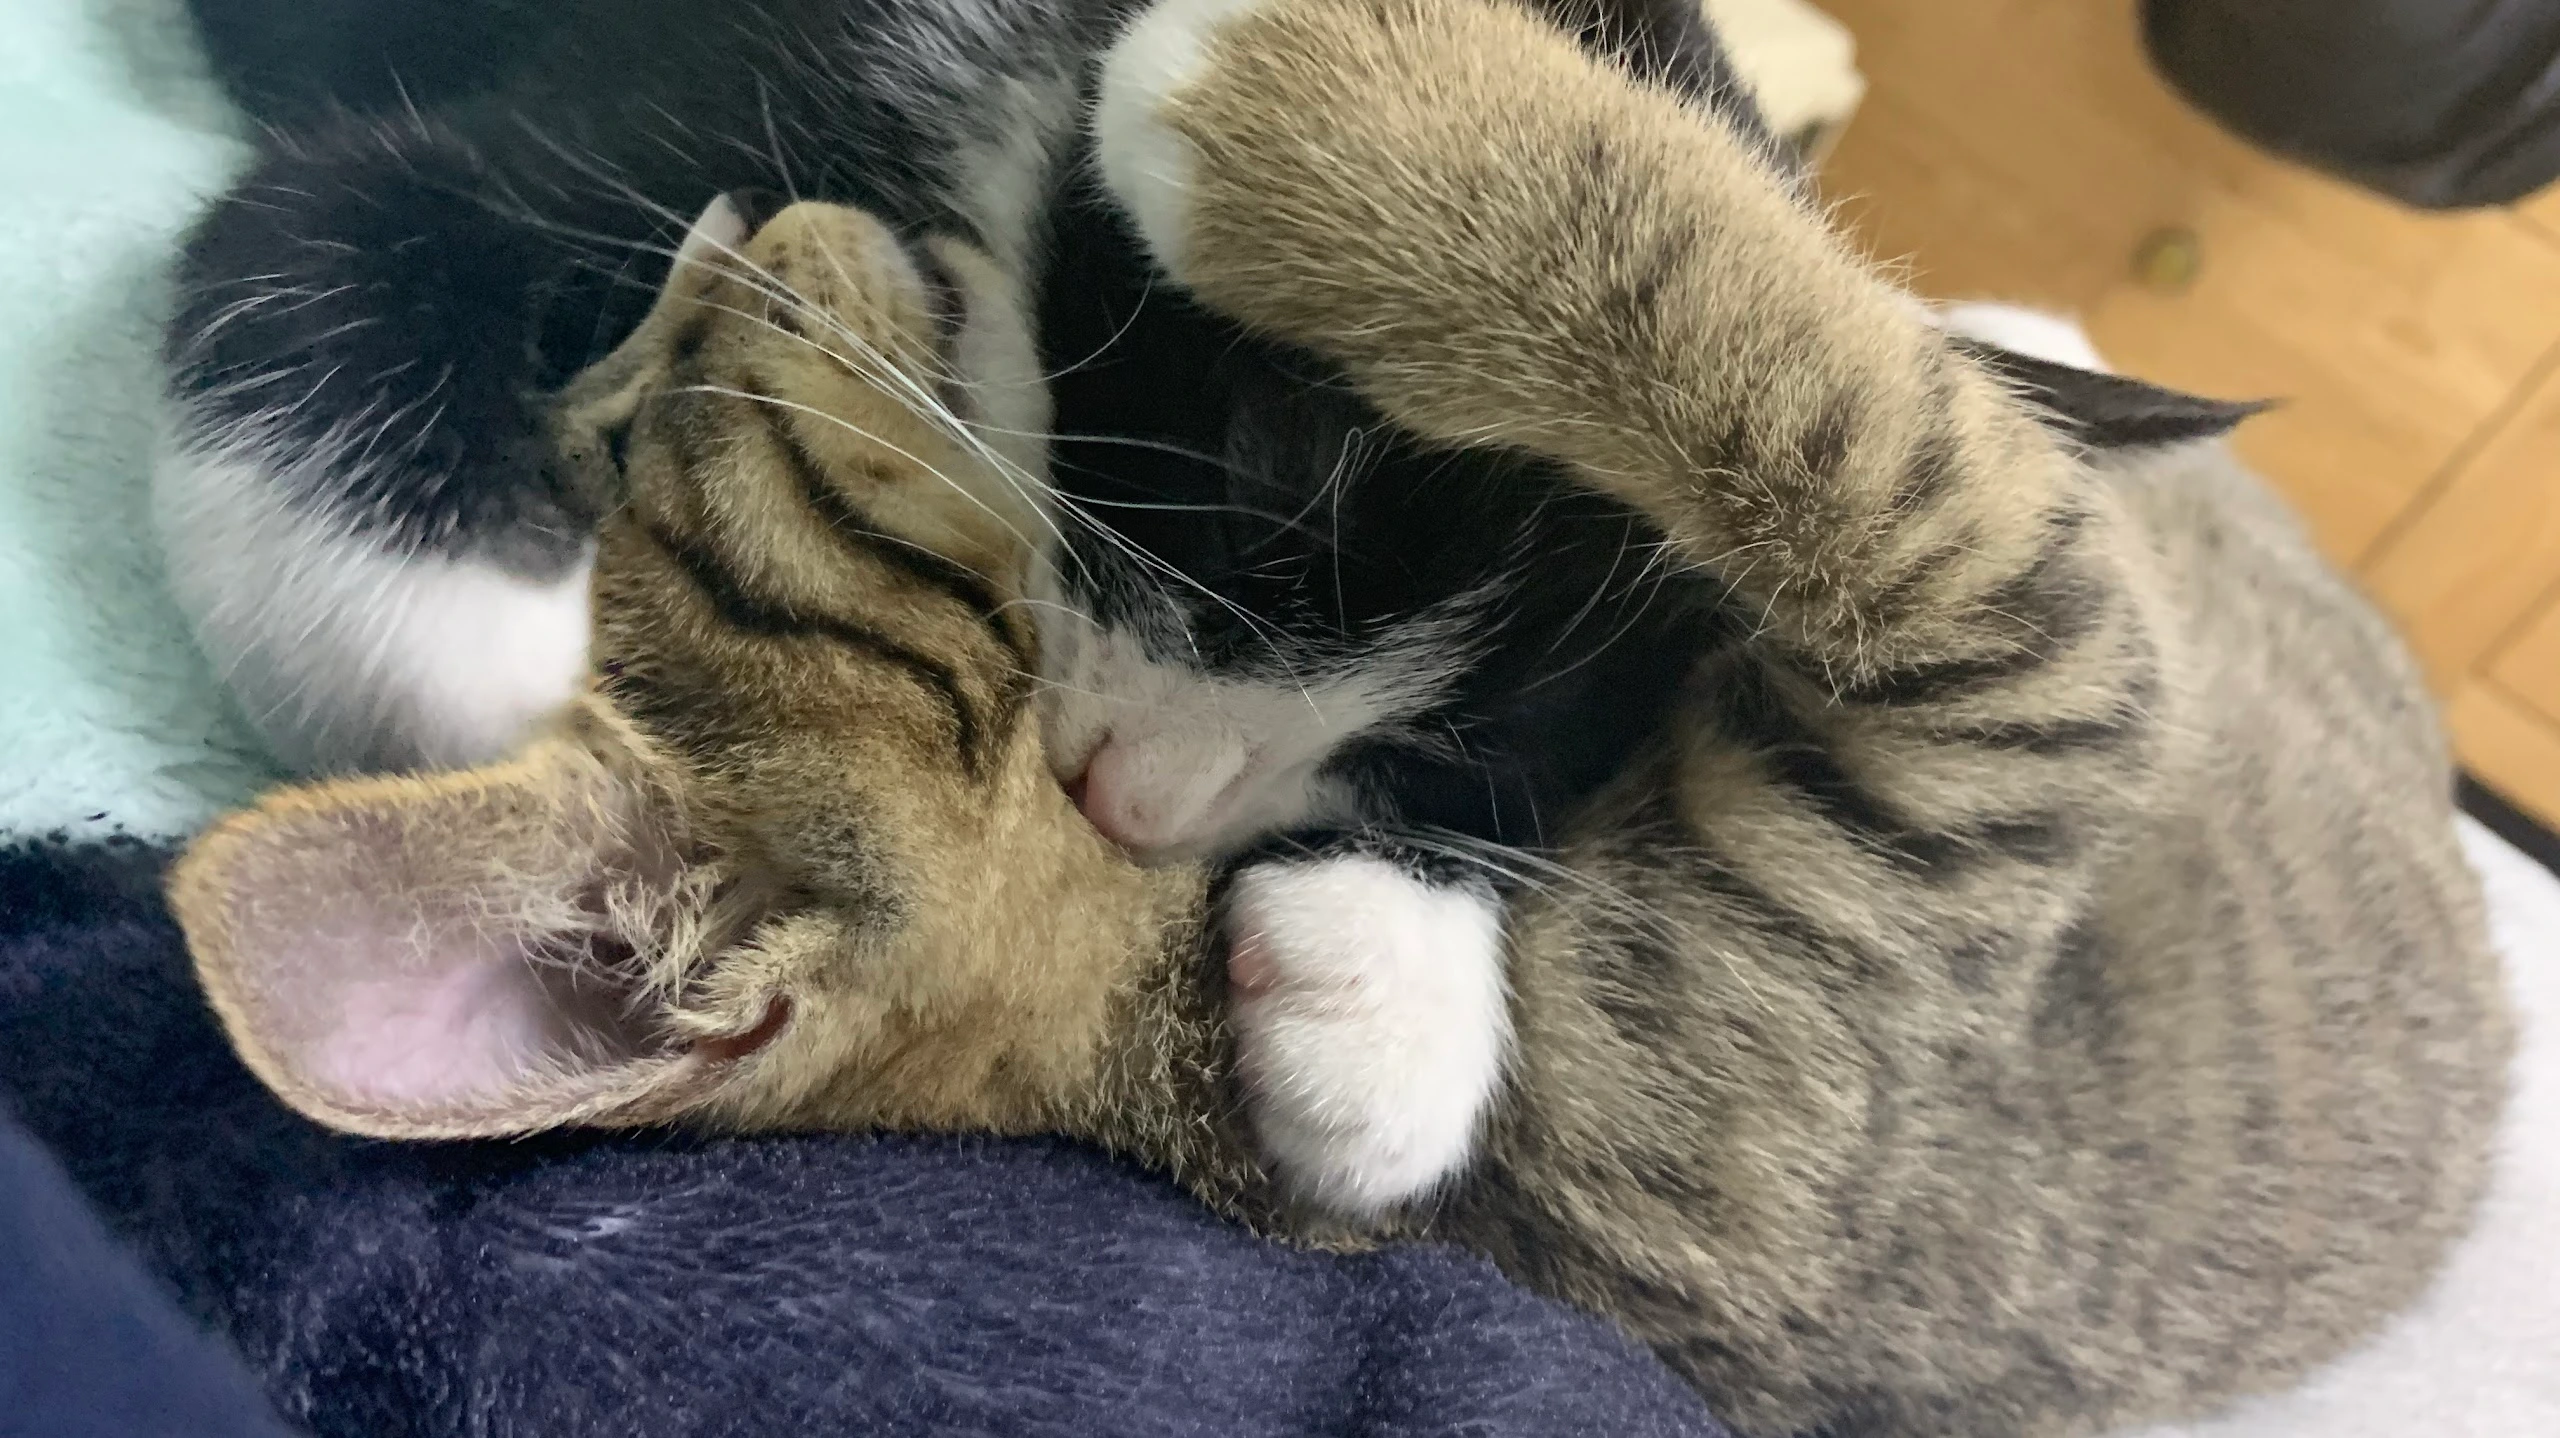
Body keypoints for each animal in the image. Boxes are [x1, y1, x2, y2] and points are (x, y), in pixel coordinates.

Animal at [171, 2, 2512, 1434]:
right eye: (1269, 489)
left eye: (1471, 744)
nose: (1137, 795)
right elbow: (326, 231)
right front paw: (491, 635)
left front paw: (1395, 1001)